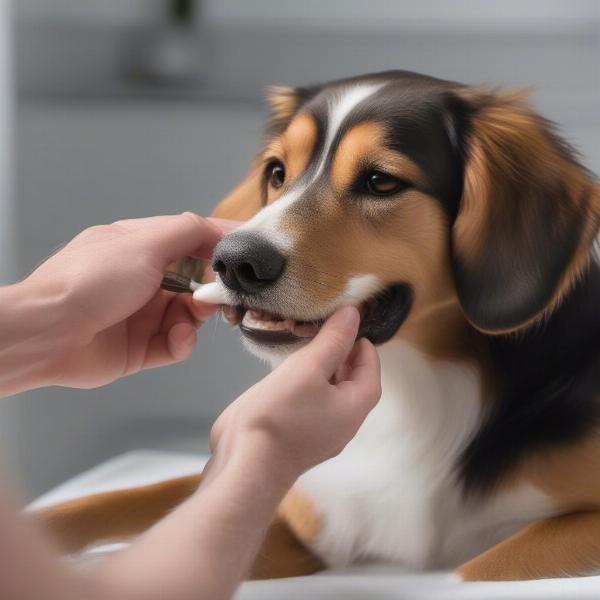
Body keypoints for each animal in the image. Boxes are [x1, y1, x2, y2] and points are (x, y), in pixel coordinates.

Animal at [36, 70, 600, 580]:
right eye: (276, 171)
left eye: (381, 181)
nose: (234, 262)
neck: (412, 391)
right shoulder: (304, 521)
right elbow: (125, 498)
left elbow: (474, 570)